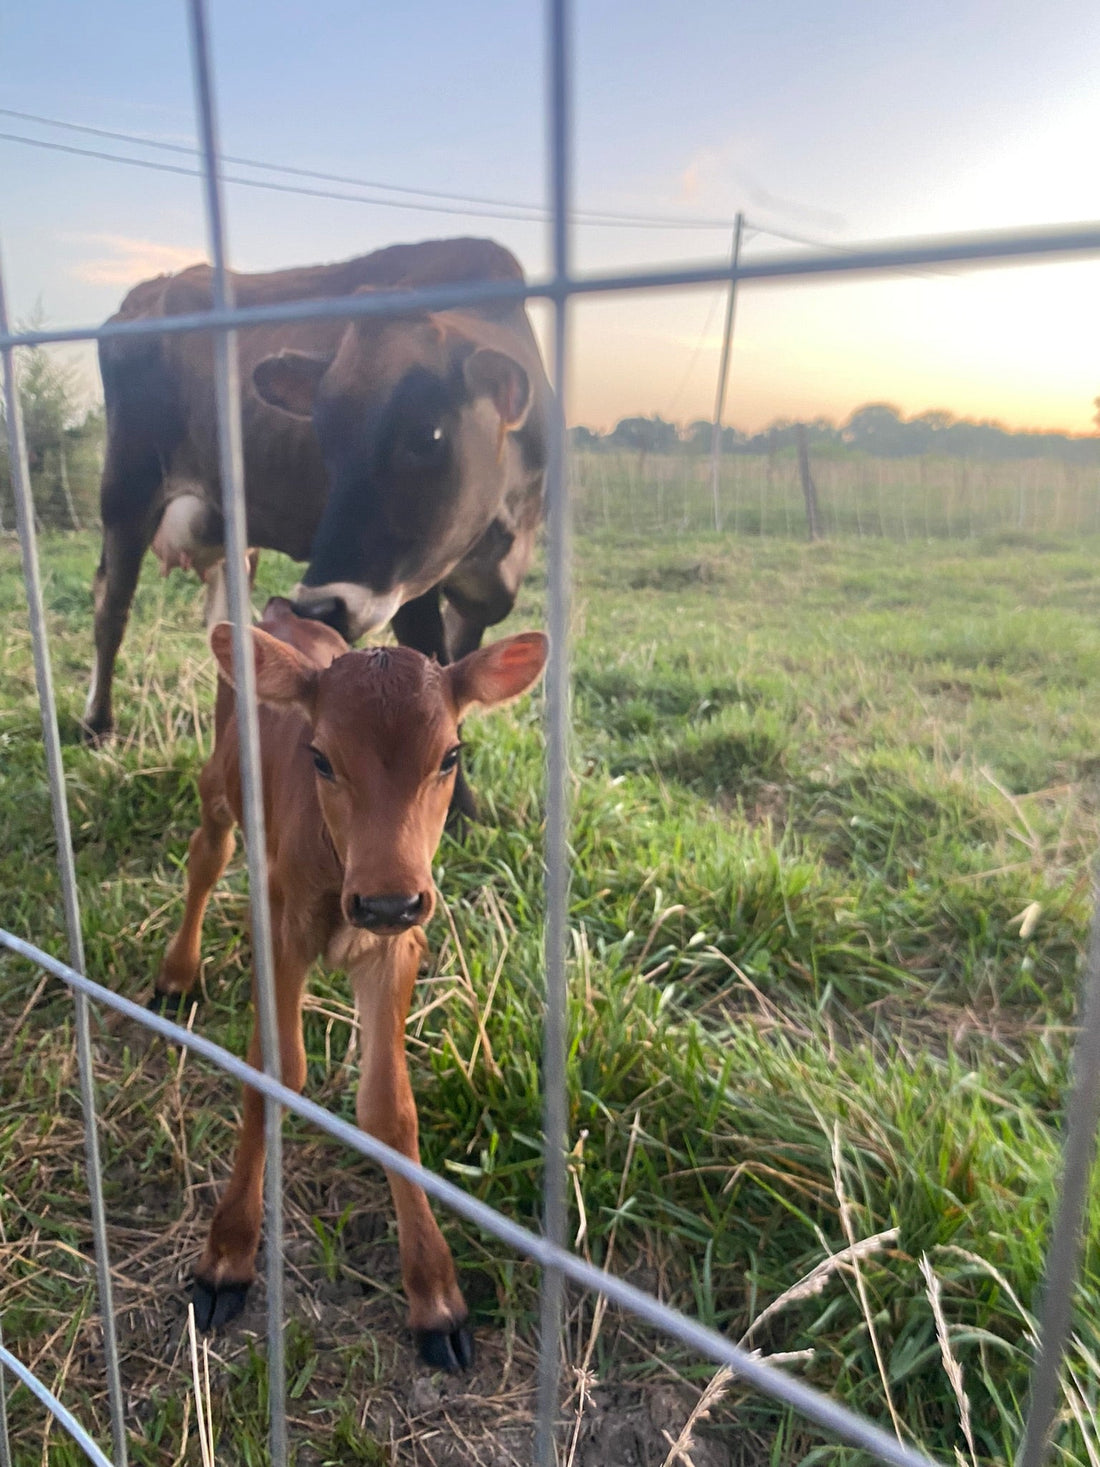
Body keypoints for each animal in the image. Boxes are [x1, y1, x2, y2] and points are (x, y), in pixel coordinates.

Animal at [85, 236, 551, 816]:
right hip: (125, 493)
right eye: (324, 436)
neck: (503, 534)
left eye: (429, 435)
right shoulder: (410, 591)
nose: (319, 607)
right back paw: (98, 725)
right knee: (112, 610)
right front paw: (461, 816)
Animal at [153, 596, 548, 1367]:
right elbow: (273, 1072)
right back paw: (177, 972)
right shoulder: (281, 929)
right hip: (219, 779)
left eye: (452, 755)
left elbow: (389, 1109)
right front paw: (228, 1254)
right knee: (206, 853)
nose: (387, 900)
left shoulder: (397, 945)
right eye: (320, 757)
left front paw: (434, 1294)